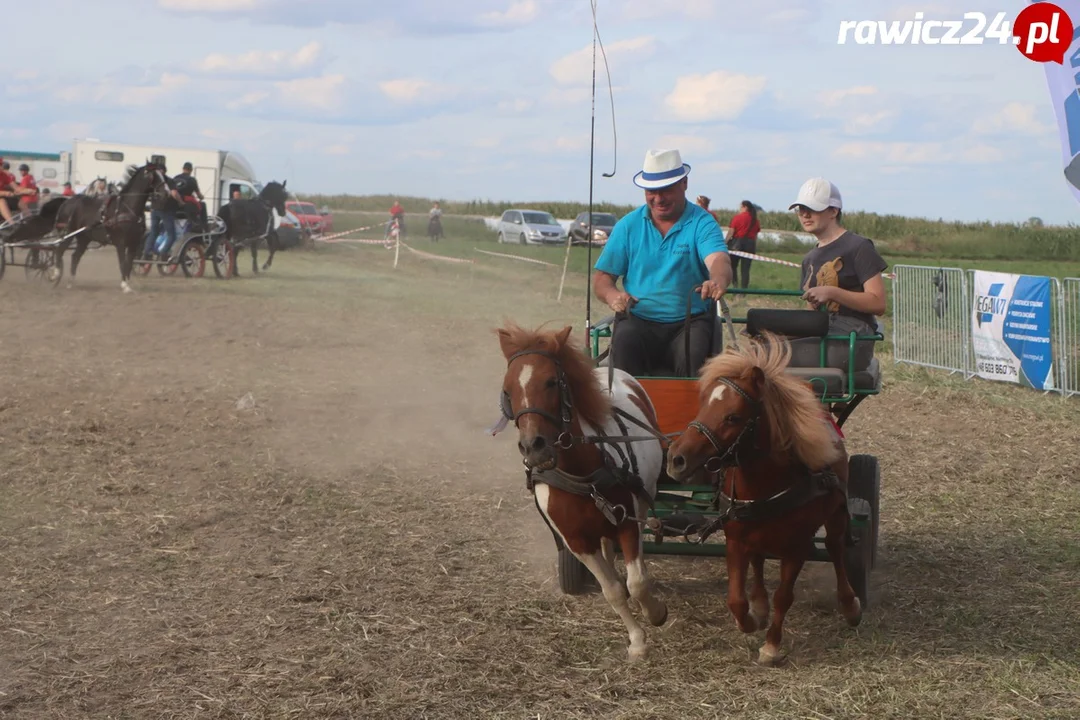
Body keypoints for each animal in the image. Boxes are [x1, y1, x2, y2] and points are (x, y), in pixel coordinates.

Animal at [494, 323, 665, 660]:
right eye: (507, 390)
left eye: (551, 381)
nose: (533, 448)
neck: (582, 472)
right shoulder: (576, 541)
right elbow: (612, 591)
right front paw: (636, 639)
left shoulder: (627, 523)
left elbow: (638, 582)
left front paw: (654, 614)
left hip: (642, 500)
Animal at [665, 334, 859, 669]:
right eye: (703, 406)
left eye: (732, 417)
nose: (676, 459)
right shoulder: (734, 538)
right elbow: (735, 599)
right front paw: (752, 618)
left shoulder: (797, 547)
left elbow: (784, 596)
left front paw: (771, 646)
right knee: (757, 560)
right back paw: (759, 603)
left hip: (835, 513)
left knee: (835, 549)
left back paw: (849, 605)